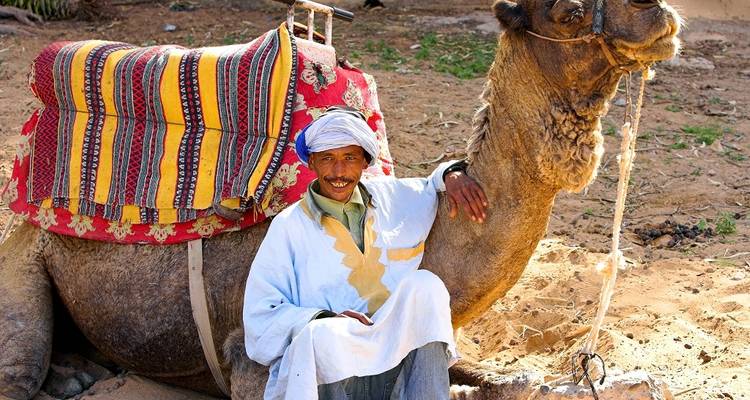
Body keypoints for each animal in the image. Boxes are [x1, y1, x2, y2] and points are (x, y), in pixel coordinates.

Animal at [0, 0, 682, 399]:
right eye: (570, 11)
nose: (661, 15)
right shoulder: (248, 361)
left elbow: (502, 379)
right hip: (25, 260)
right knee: (19, 369)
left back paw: (82, 372)